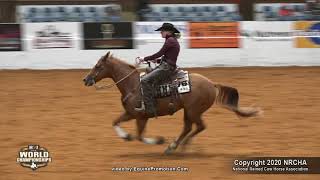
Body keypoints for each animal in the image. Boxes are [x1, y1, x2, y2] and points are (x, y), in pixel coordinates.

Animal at [83, 51, 262, 154]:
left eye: (98, 66)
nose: (86, 79)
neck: (133, 85)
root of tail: (212, 84)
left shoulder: (141, 116)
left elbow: (140, 137)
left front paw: (158, 140)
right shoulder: (130, 113)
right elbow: (115, 122)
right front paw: (126, 136)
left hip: (194, 111)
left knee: (199, 126)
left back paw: (176, 146)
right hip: (188, 111)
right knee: (188, 128)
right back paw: (176, 146)